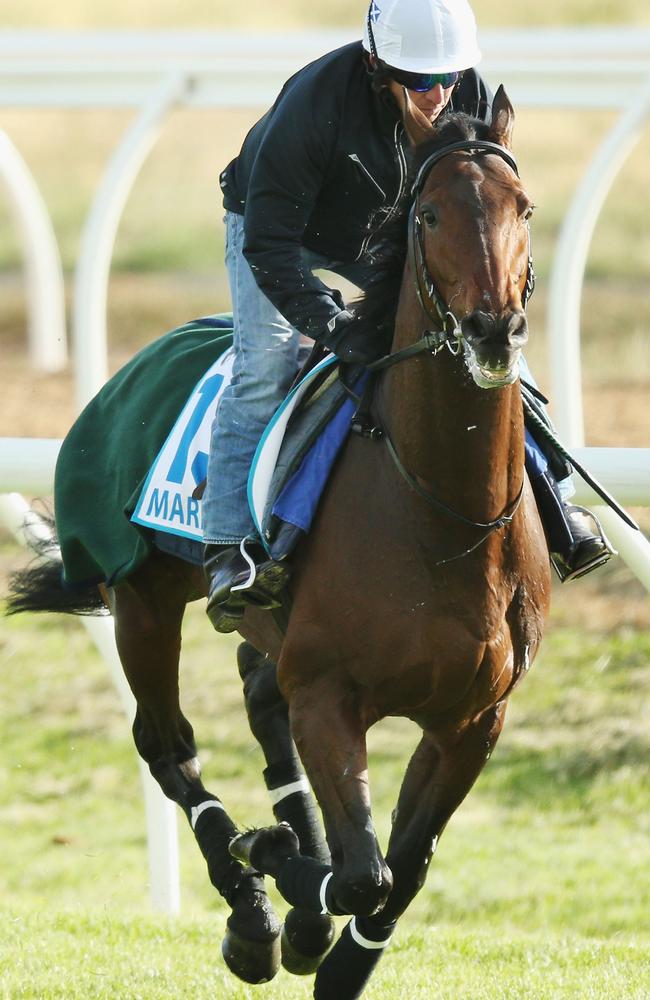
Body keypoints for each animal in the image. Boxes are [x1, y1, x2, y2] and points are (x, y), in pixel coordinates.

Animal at [7, 88, 548, 1000]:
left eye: (525, 208)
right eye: (429, 212)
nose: (491, 329)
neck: (441, 518)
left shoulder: (473, 717)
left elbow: (403, 871)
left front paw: (333, 947)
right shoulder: (330, 693)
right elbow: (364, 873)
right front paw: (275, 866)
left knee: (259, 695)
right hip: (141, 601)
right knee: (168, 747)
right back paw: (254, 916)